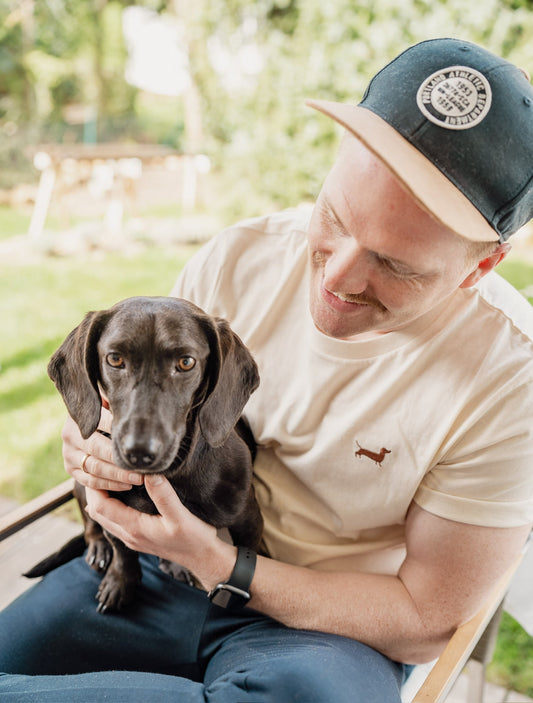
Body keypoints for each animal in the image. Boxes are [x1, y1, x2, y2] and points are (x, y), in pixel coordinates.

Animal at [26, 294, 262, 612]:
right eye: (115, 359)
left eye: (186, 362)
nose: (138, 452)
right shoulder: (103, 501)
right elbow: (120, 547)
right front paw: (120, 582)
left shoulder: (250, 524)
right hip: (81, 484)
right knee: (90, 526)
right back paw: (98, 546)